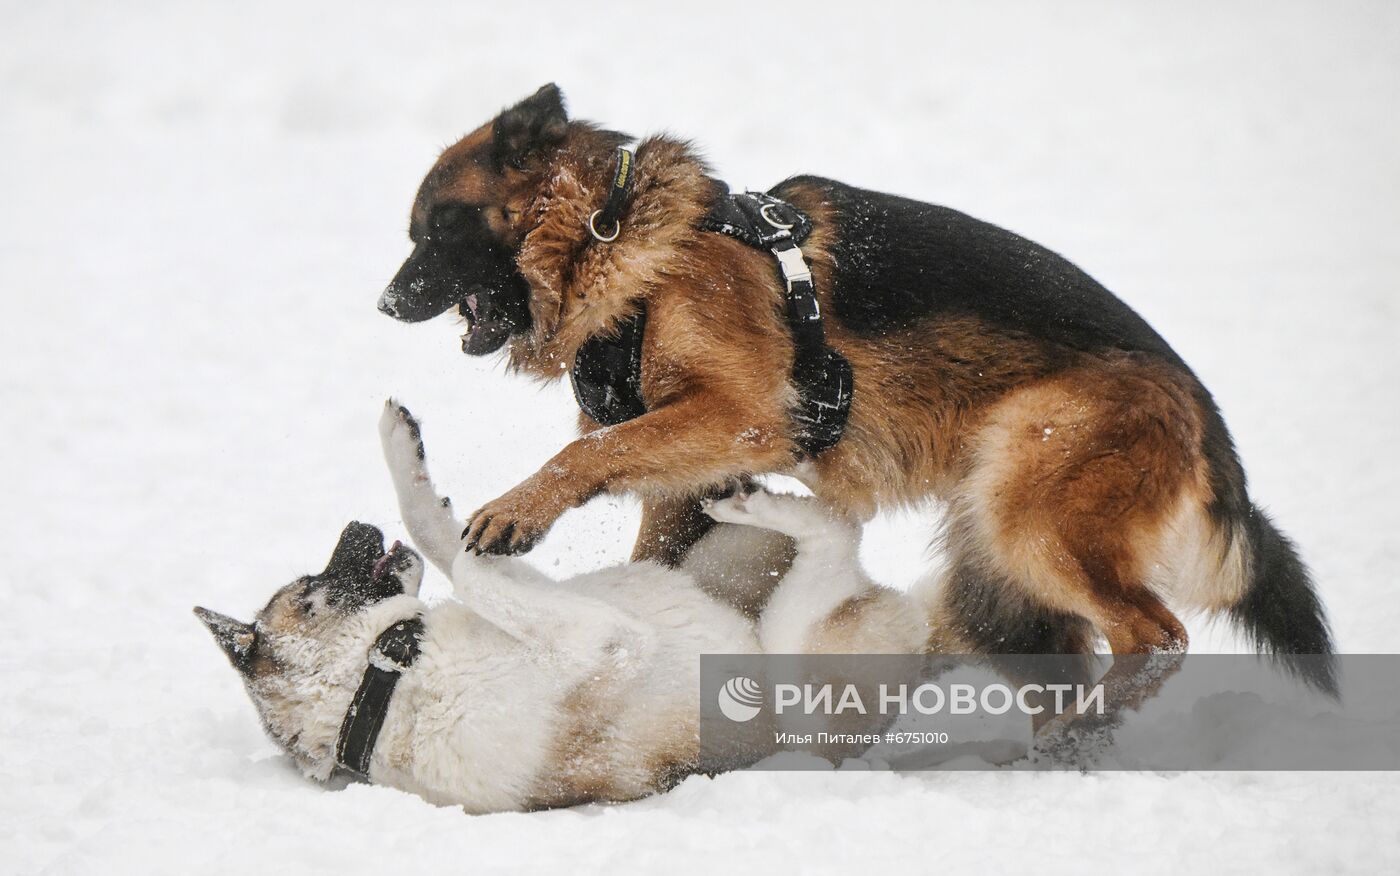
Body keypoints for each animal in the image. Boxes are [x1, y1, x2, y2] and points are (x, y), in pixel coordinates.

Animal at [380, 83, 1332, 716]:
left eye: (437, 230)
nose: (385, 305)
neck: (615, 236)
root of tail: (1206, 419)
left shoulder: (743, 418)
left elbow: (589, 449)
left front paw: (516, 510)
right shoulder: (687, 473)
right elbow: (648, 543)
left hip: (1033, 511)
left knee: (1155, 637)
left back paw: (1083, 728)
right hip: (996, 551)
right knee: (1059, 655)